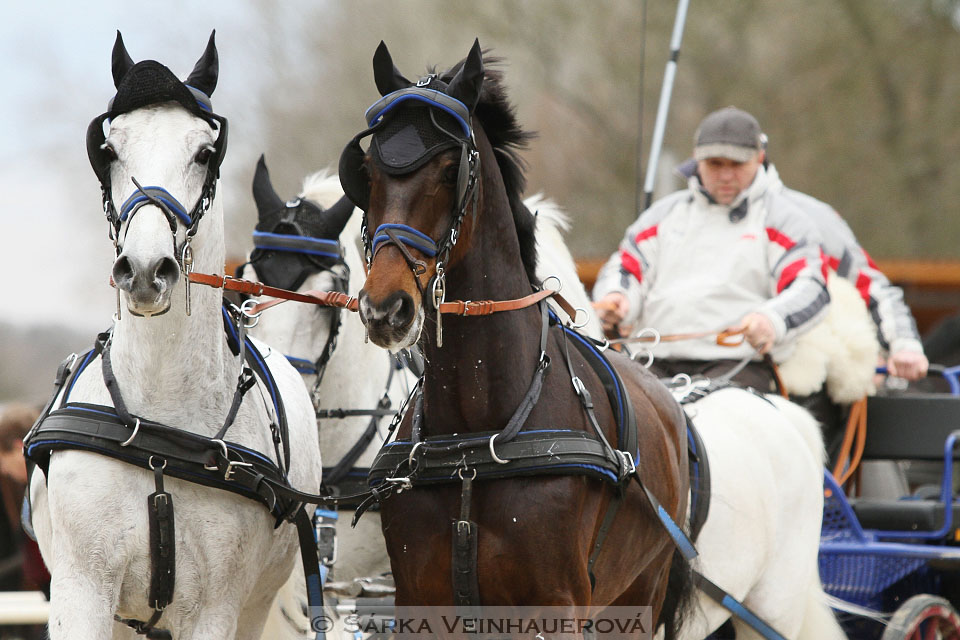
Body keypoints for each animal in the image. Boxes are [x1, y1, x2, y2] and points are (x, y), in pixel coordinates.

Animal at [25, 35, 318, 640]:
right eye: (110, 149)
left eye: (204, 153)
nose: (144, 269)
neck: (159, 426)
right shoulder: (82, 590)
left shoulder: (216, 609)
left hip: (257, 605)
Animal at [338, 40, 688, 636]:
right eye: (368, 170)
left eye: (450, 169)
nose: (385, 308)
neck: (473, 442)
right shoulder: (420, 601)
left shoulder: (554, 605)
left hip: (638, 595)